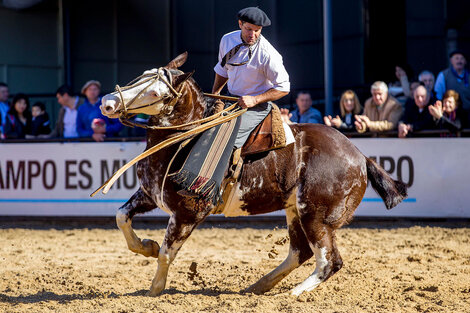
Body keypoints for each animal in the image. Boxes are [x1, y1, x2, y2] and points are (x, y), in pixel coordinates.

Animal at [99, 53, 408, 294]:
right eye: (140, 76)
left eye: (155, 93)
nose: (107, 103)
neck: (187, 139)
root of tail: (360, 157)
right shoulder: (151, 195)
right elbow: (121, 217)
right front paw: (146, 246)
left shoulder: (189, 212)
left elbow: (166, 253)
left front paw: (155, 289)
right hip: (295, 211)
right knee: (301, 252)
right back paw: (259, 285)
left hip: (315, 215)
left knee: (329, 261)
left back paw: (294, 293)